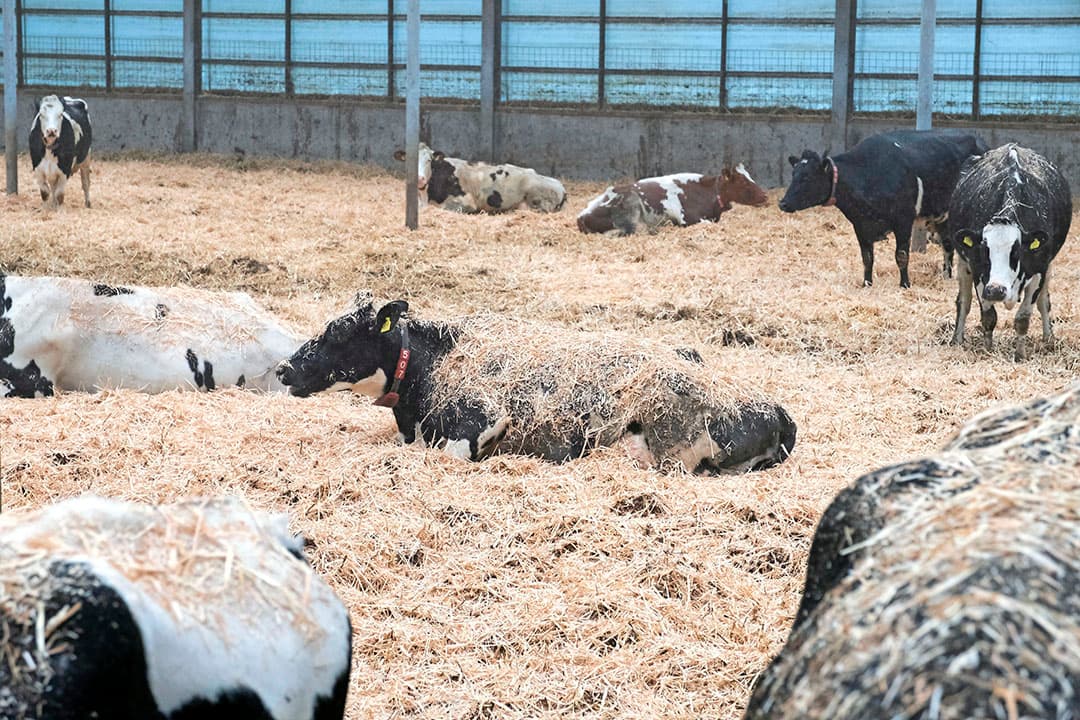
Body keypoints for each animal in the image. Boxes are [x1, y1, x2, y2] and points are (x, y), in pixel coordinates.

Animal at [779, 129, 988, 288]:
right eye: (794, 174)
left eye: (807, 177)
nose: (783, 203)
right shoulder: (860, 225)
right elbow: (867, 257)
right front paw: (867, 283)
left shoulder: (903, 220)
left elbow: (901, 256)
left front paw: (905, 284)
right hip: (943, 218)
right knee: (947, 246)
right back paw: (946, 276)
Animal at [948, 144, 1072, 361]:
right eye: (984, 251)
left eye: (1016, 253)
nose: (996, 290)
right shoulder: (978, 272)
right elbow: (988, 317)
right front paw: (988, 350)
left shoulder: (1039, 270)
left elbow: (1023, 318)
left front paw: (1020, 354)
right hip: (963, 263)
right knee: (963, 301)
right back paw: (957, 338)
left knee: (1044, 303)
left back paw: (1049, 339)